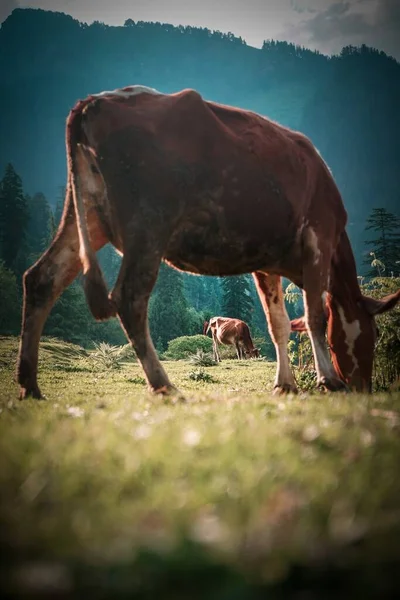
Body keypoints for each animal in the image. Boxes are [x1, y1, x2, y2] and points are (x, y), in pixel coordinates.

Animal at [18, 82, 400, 396]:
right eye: (374, 336)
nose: (363, 388)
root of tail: (95, 101)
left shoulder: (267, 261)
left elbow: (278, 324)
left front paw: (285, 385)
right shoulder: (319, 238)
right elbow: (315, 316)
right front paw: (328, 381)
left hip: (86, 214)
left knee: (42, 278)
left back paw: (29, 385)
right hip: (148, 223)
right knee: (129, 298)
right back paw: (164, 386)